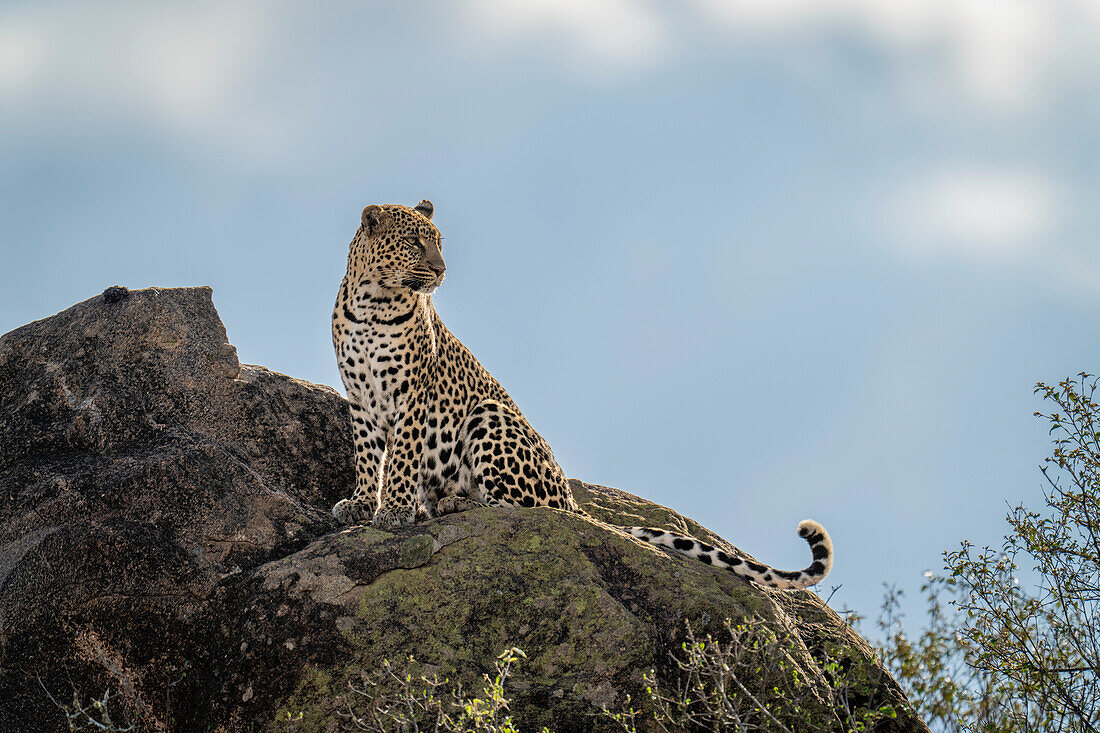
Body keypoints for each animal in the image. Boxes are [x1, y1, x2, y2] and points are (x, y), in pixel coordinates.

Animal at [327, 198, 831, 589]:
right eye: (415, 243)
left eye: (438, 243)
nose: (441, 269)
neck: (373, 304)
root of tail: (573, 499)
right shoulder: (361, 399)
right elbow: (368, 456)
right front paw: (360, 504)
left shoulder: (413, 395)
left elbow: (402, 457)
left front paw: (394, 511)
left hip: (491, 416)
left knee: (526, 510)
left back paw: (455, 502)